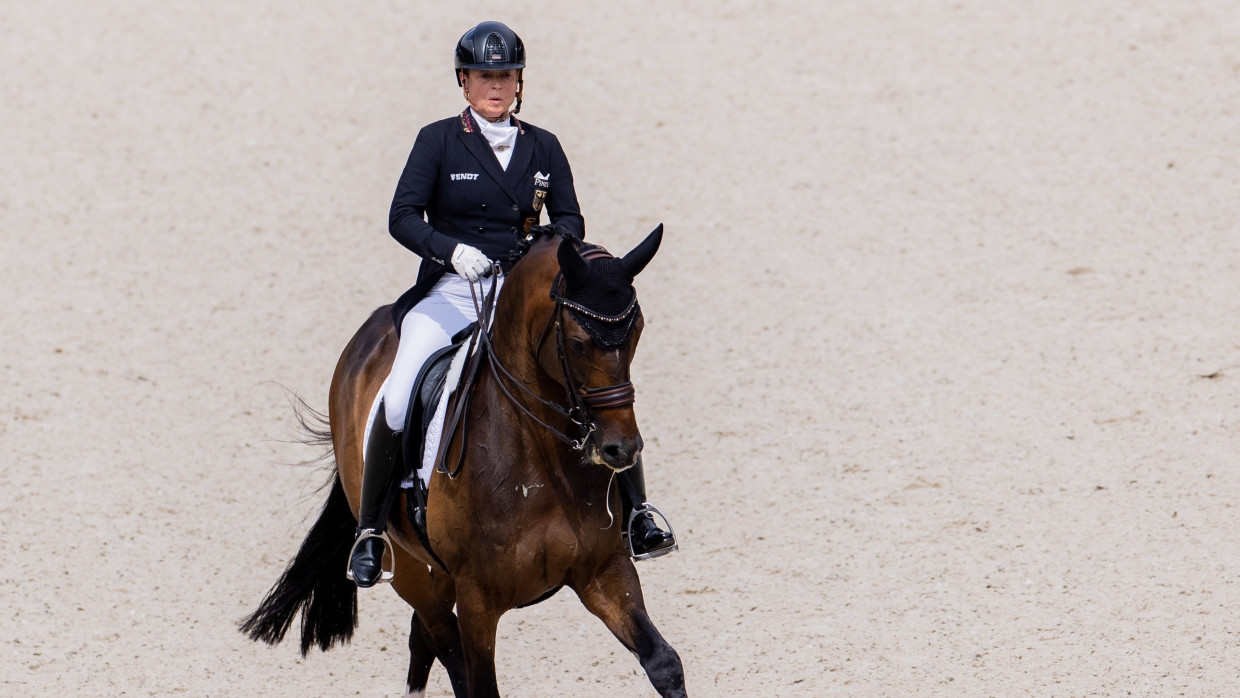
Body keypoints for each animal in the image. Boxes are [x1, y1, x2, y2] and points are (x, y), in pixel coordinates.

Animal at [241, 226, 689, 694]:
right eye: (579, 343)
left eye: (637, 331)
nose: (622, 449)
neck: (538, 455)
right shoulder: (478, 597)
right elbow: (479, 682)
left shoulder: (604, 570)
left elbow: (664, 662)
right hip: (411, 571)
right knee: (441, 639)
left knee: (423, 640)